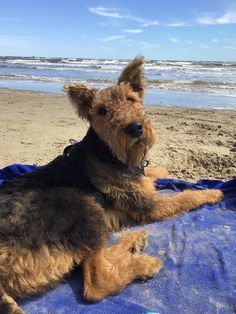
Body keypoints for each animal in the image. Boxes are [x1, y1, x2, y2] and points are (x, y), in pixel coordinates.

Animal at [0, 57, 223, 312]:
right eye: (102, 111)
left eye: (131, 99)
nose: (135, 128)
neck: (107, 152)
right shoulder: (150, 206)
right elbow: (185, 197)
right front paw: (212, 193)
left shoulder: (140, 178)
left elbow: (153, 173)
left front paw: (160, 171)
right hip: (82, 203)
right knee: (97, 282)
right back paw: (142, 265)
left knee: (97, 258)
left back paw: (132, 241)